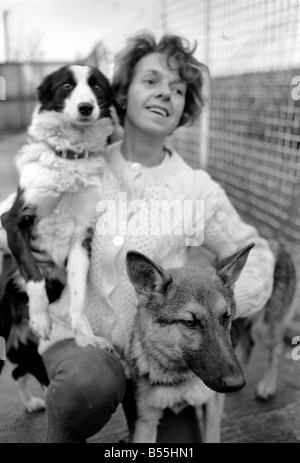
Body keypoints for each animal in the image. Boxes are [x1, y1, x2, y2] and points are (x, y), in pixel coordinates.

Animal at [0, 64, 115, 410]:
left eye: (97, 86)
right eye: (66, 85)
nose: (86, 108)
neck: (69, 157)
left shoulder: (81, 239)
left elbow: (77, 295)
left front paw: (86, 337)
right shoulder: (12, 221)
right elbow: (34, 274)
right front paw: (40, 317)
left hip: (21, 346)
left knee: (20, 371)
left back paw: (30, 402)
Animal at [125, 243, 254, 442]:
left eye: (225, 317)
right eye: (190, 322)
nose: (236, 383)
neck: (180, 376)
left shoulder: (212, 404)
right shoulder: (146, 421)